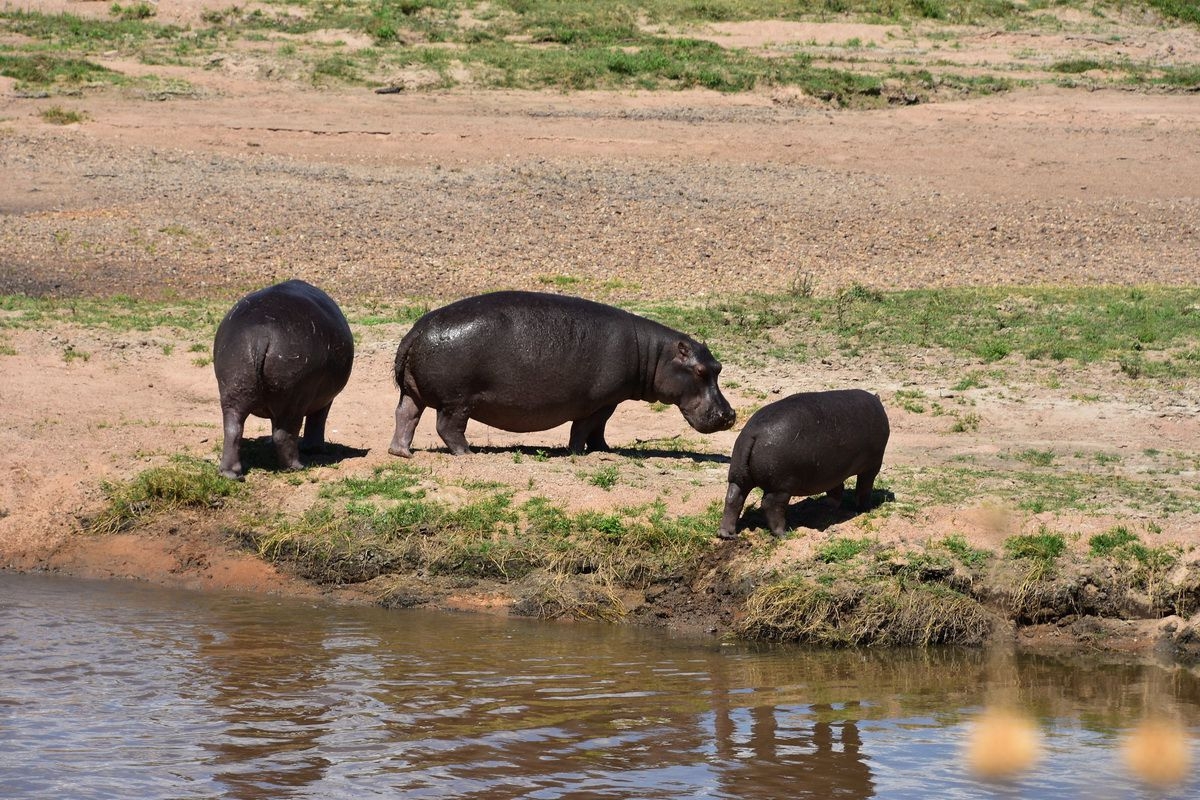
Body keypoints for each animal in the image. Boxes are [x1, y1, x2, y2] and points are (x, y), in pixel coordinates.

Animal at [213, 281, 352, 482]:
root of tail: (260, 334)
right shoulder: (325, 399)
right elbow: (318, 420)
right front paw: (316, 450)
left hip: (233, 388)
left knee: (233, 429)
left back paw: (231, 474)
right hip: (295, 397)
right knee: (284, 433)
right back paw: (298, 466)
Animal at [388, 292, 734, 455]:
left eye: (718, 368)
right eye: (700, 370)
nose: (730, 415)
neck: (655, 353)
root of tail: (415, 330)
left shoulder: (609, 402)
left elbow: (599, 430)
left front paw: (604, 450)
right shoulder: (598, 402)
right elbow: (584, 428)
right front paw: (578, 453)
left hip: (413, 393)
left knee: (406, 415)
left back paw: (401, 453)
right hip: (457, 401)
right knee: (447, 427)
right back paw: (467, 452)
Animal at [715, 391, 888, 542]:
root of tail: (752, 434)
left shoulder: (833, 470)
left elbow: (836, 487)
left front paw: (829, 505)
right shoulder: (872, 465)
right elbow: (864, 488)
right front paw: (866, 509)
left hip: (739, 476)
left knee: (733, 498)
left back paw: (727, 534)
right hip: (781, 487)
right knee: (770, 505)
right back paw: (784, 534)